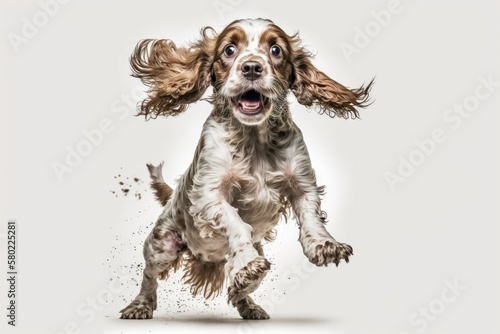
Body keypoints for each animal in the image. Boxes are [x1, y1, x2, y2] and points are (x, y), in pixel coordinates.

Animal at [120, 18, 372, 320]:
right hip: (162, 245)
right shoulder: (209, 195)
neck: (254, 139)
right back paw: (140, 305)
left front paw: (324, 245)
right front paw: (246, 264)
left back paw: (247, 298)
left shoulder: (302, 184)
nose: (252, 67)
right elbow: (236, 222)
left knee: (239, 284)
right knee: (149, 276)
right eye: (229, 49)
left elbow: (312, 218)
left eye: (276, 49)